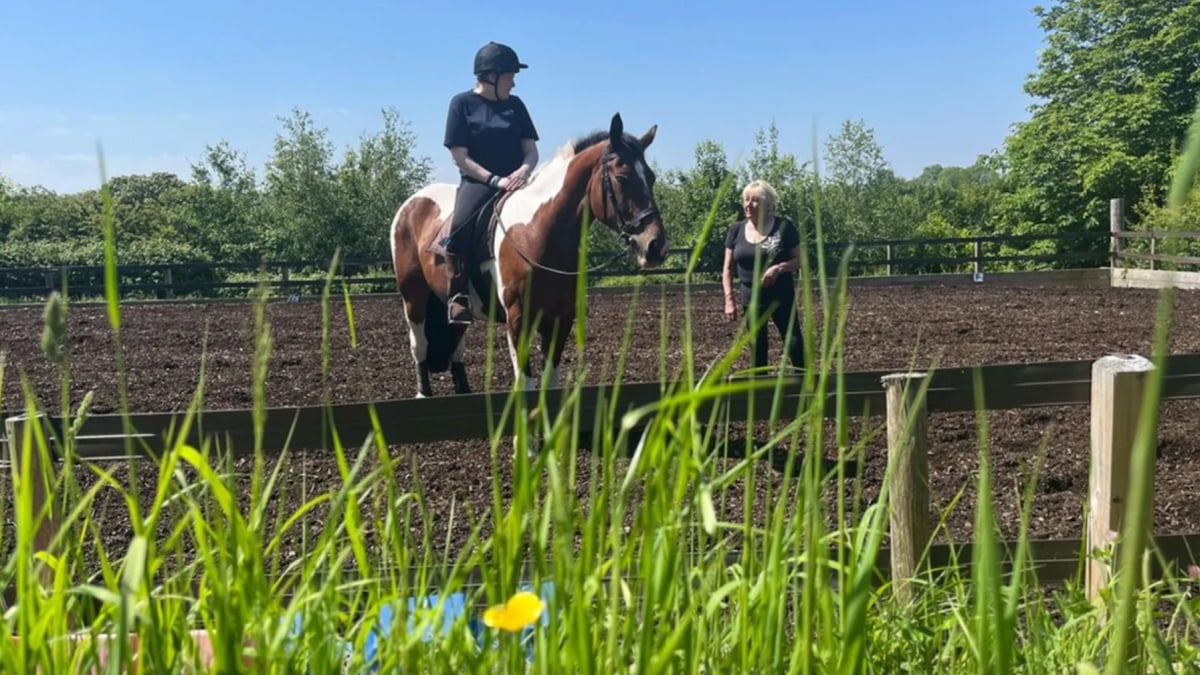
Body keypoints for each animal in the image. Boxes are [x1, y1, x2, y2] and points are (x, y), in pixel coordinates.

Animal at [391, 109, 667, 393]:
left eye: (651, 178)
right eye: (622, 178)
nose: (655, 245)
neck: (536, 232)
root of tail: (411, 204)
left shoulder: (560, 319)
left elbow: (550, 381)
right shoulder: (518, 319)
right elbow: (526, 383)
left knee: (456, 347)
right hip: (413, 297)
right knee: (419, 347)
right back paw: (423, 392)